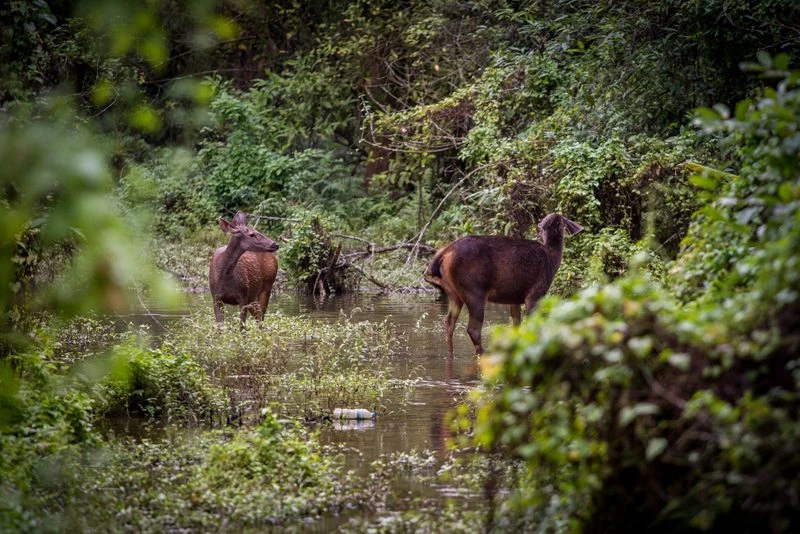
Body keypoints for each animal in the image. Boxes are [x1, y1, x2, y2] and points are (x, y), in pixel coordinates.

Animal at [424, 213, 580, 356]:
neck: (553, 258)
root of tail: (444, 253)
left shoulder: (515, 298)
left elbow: (517, 325)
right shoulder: (536, 293)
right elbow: (532, 325)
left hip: (452, 292)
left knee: (449, 322)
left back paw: (451, 353)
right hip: (474, 290)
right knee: (473, 329)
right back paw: (483, 354)